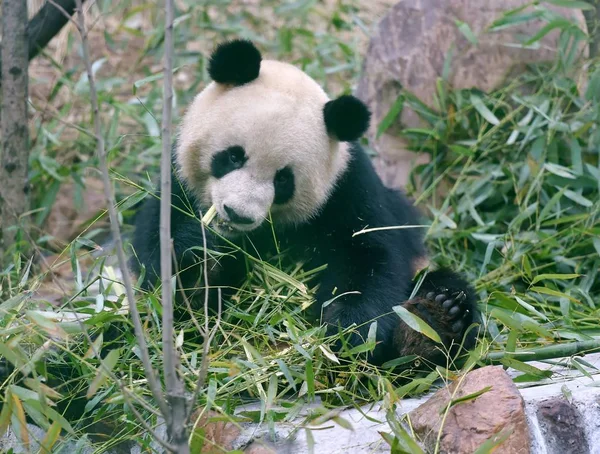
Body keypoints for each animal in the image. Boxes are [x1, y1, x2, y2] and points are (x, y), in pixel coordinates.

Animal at [129, 39, 480, 366]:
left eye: (283, 179)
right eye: (233, 156)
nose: (237, 214)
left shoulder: (348, 192)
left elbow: (370, 258)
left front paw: (349, 333)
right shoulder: (176, 186)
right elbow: (161, 269)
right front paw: (198, 254)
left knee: (447, 289)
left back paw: (431, 321)